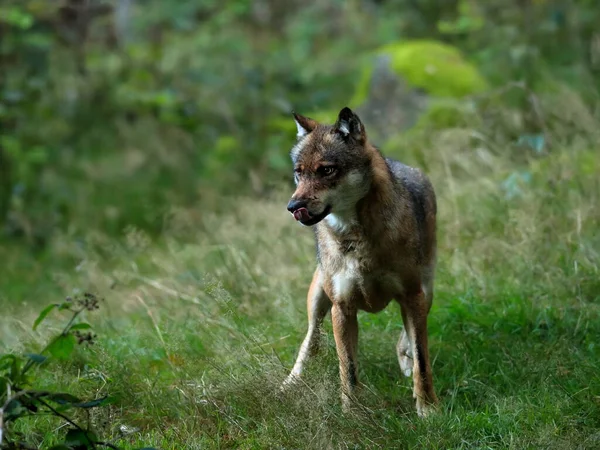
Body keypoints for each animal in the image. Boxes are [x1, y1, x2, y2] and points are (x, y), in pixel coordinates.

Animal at [282, 107, 440, 416]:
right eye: (299, 173)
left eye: (327, 170)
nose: (293, 207)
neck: (357, 239)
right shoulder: (341, 309)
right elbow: (348, 369)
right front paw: (351, 414)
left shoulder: (412, 295)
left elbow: (422, 360)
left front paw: (428, 409)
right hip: (318, 298)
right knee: (310, 341)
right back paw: (288, 384)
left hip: (426, 291)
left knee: (409, 336)